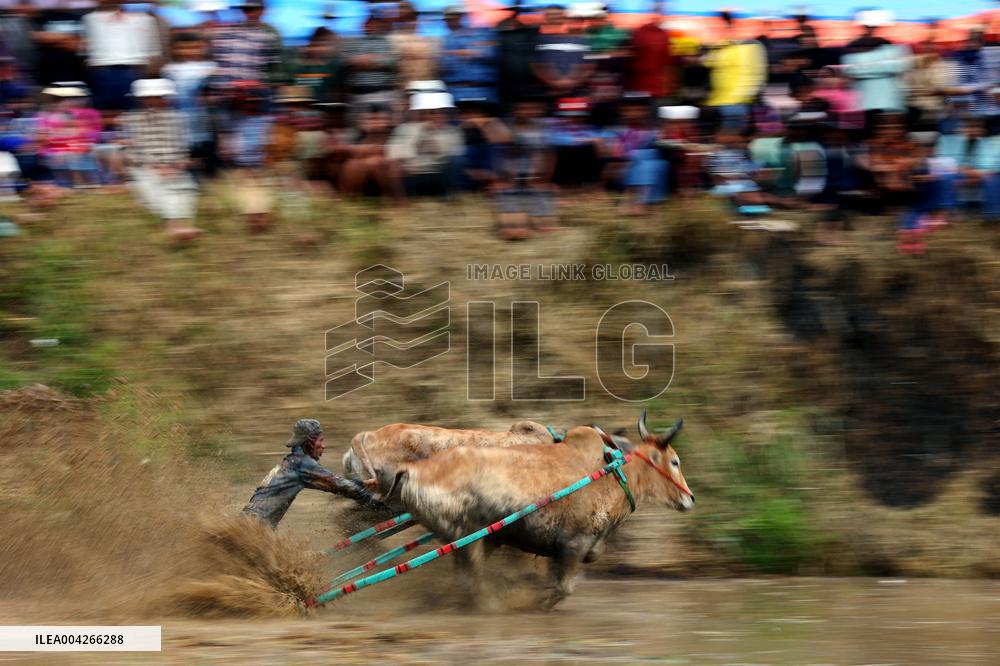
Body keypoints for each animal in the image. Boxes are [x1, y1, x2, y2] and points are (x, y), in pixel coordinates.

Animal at [380, 411, 694, 609]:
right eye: (675, 462)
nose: (689, 498)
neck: (612, 471)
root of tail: (411, 470)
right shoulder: (574, 543)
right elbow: (563, 588)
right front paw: (538, 604)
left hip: (476, 539)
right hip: (468, 536)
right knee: (472, 580)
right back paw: (492, 605)